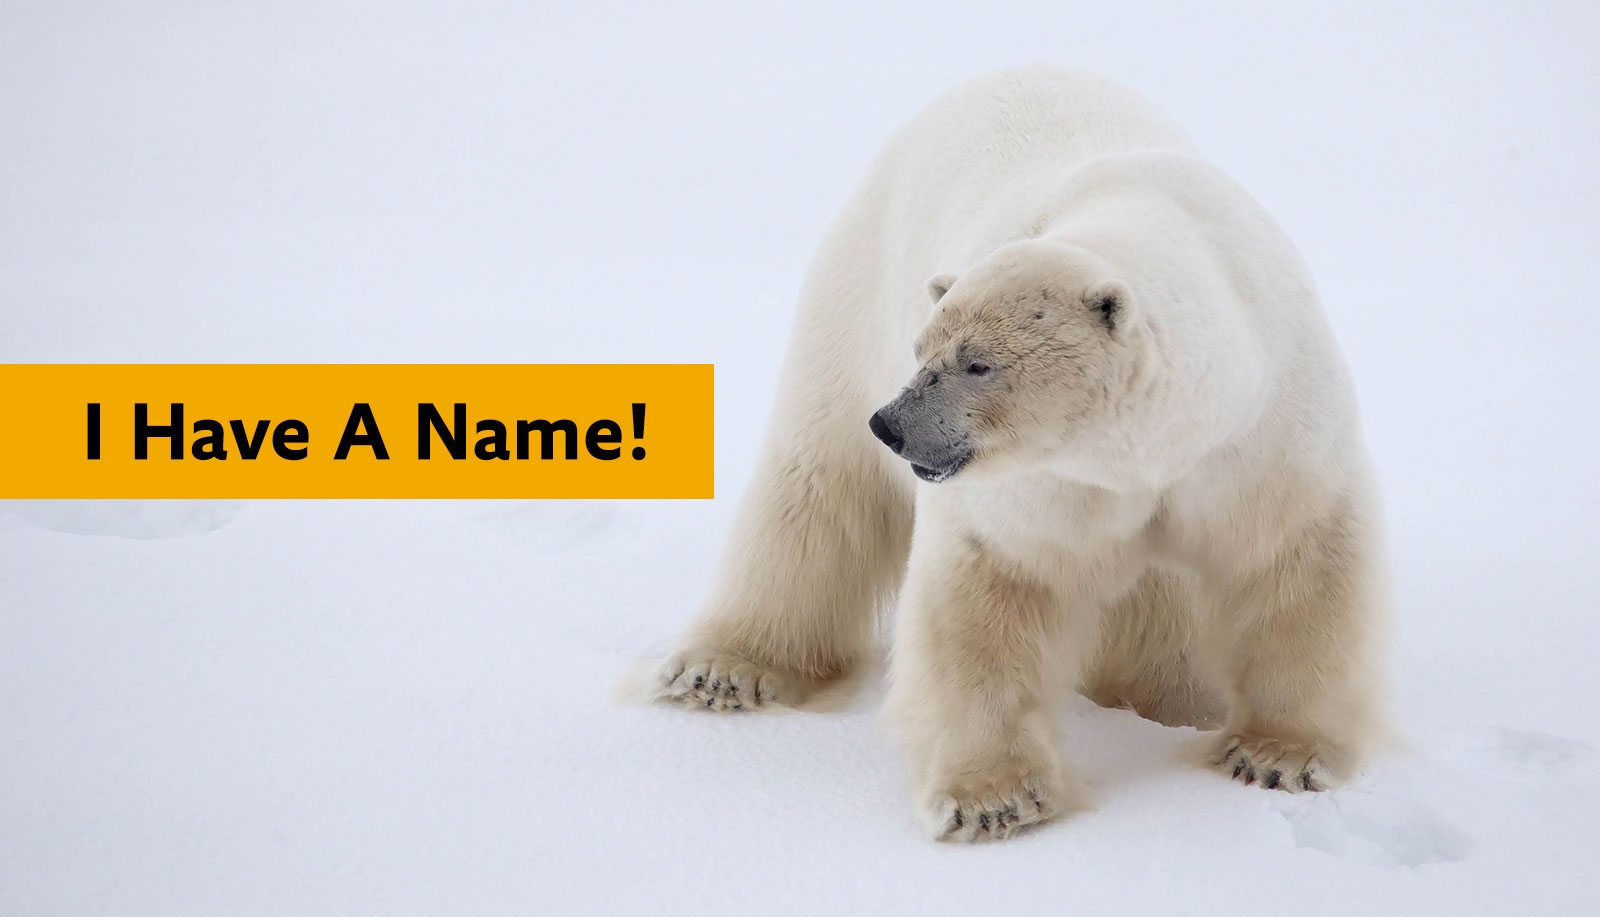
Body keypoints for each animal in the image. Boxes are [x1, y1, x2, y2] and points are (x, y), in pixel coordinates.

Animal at [647, 66, 1387, 842]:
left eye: (978, 363)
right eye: (923, 348)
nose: (893, 424)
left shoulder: (1263, 434)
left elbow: (1298, 564)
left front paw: (1277, 756)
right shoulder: (1043, 480)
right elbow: (992, 585)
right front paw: (993, 800)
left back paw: (1167, 695)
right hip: (855, 287)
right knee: (817, 486)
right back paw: (723, 669)